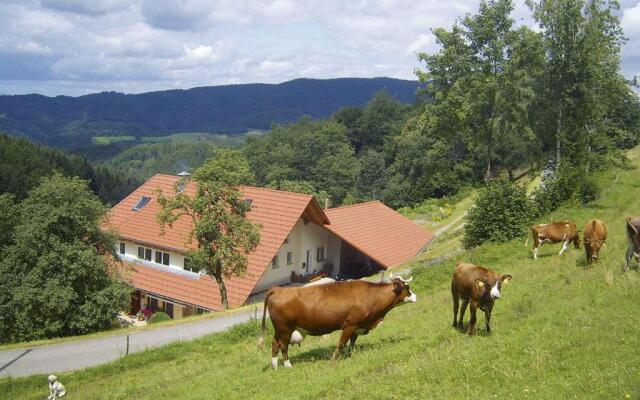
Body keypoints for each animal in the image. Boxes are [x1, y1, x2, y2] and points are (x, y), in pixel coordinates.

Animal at [258, 276, 418, 368]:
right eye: (407, 288)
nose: (415, 297)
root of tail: (278, 290)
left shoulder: (358, 326)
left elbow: (352, 342)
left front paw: (350, 355)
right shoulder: (350, 325)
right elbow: (341, 343)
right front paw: (334, 360)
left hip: (279, 330)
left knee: (274, 344)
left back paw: (275, 366)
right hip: (285, 329)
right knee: (283, 346)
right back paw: (288, 365)